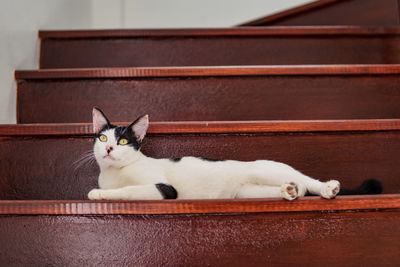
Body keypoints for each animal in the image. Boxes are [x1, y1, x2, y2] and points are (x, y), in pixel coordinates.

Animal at [87, 108, 382, 201]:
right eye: (103, 138)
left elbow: (127, 190)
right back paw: (288, 191)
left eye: (123, 140)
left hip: (267, 169)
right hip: (248, 191)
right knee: (298, 188)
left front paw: (99, 194)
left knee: (310, 182)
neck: (114, 173)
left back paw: (328, 189)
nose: (109, 148)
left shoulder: (165, 189)